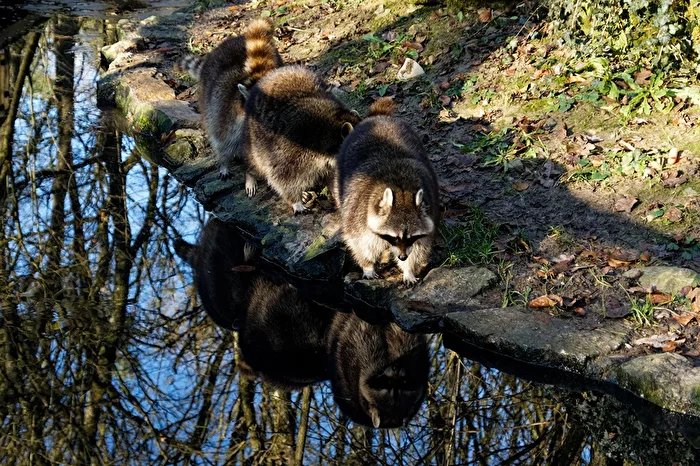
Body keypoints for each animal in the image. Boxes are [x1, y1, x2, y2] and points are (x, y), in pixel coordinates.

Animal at [243, 65, 361, 214]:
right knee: (257, 162)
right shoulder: (291, 148)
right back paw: (250, 174)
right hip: (255, 141)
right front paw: (295, 201)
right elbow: (282, 177)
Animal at [335, 98, 439, 284]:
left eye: (411, 237)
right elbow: (359, 243)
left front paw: (409, 269)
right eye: (395, 237)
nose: (403, 257)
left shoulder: (430, 208)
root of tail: (378, 117)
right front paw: (367, 265)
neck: (402, 188)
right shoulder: (359, 213)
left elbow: (420, 247)